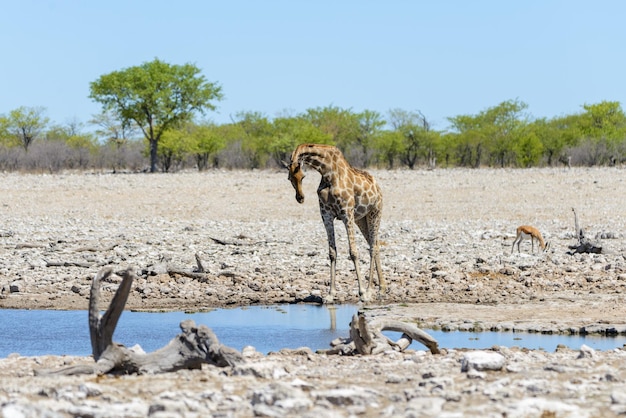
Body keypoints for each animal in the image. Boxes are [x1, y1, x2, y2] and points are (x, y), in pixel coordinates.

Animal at [284, 144, 382, 304]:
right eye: (289, 178)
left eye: (303, 176)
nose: (300, 198)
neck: (327, 172)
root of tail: (377, 186)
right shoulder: (326, 216)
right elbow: (332, 253)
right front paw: (330, 294)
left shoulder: (347, 214)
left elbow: (353, 252)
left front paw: (361, 292)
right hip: (361, 219)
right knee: (376, 244)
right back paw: (382, 288)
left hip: (375, 212)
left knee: (373, 248)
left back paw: (369, 291)